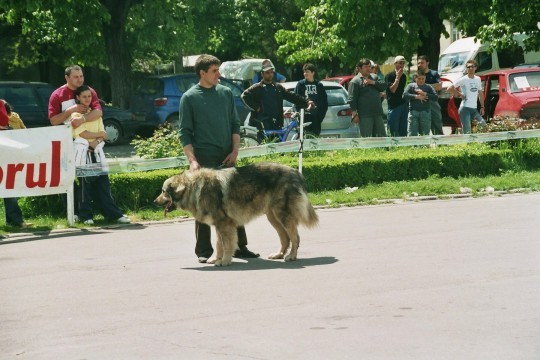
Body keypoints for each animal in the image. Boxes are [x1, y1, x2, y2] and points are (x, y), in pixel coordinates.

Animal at [154, 162, 318, 266]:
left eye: (163, 191)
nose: (154, 201)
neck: (194, 188)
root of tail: (296, 172)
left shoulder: (225, 225)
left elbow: (227, 244)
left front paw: (225, 261)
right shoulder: (219, 225)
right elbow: (219, 244)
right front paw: (216, 259)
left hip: (282, 216)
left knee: (295, 238)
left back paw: (291, 256)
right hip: (273, 217)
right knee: (285, 238)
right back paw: (279, 254)